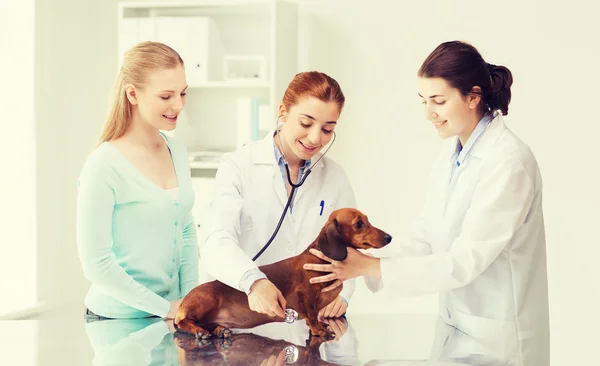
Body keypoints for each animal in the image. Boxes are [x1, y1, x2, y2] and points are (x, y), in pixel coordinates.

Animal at [173, 209, 392, 340]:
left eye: (367, 220)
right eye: (359, 223)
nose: (389, 237)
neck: (321, 258)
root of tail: (184, 302)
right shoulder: (305, 294)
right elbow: (312, 316)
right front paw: (319, 330)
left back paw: (220, 330)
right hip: (206, 301)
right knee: (183, 323)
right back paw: (200, 332)